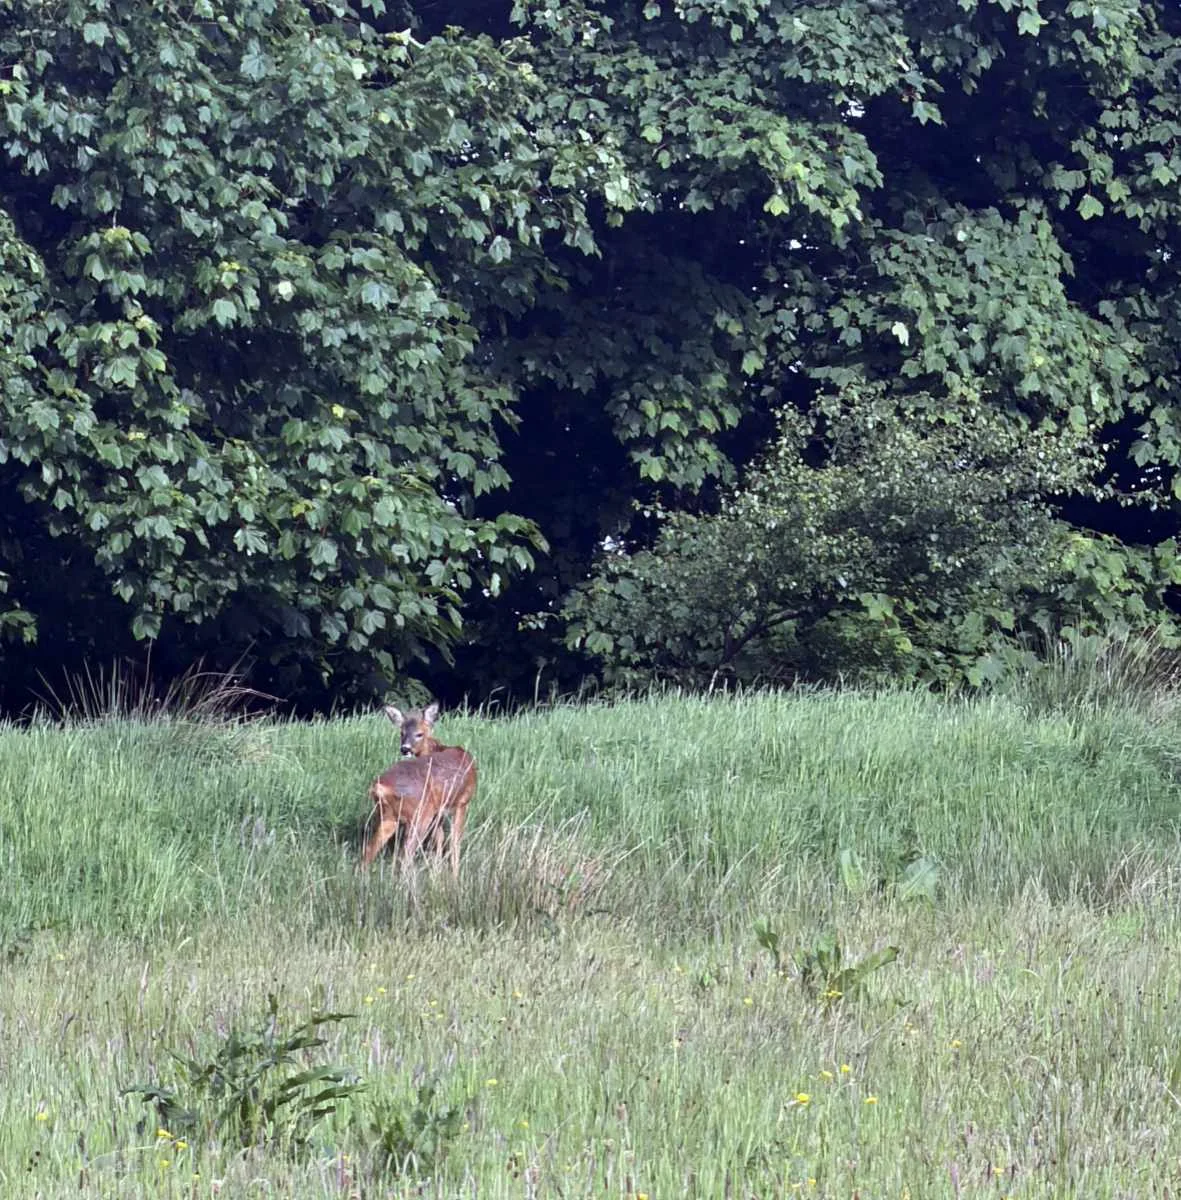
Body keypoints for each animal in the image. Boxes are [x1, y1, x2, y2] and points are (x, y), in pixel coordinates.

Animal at [360, 702, 477, 879]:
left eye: (419, 734)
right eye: (401, 733)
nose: (405, 749)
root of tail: (380, 787)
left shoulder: (439, 811)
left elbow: (439, 839)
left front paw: (437, 871)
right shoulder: (462, 802)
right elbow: (455, 841)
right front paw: (455, 876)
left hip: (388, 816)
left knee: (368, 852)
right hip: (420, 814)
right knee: (405, 856)